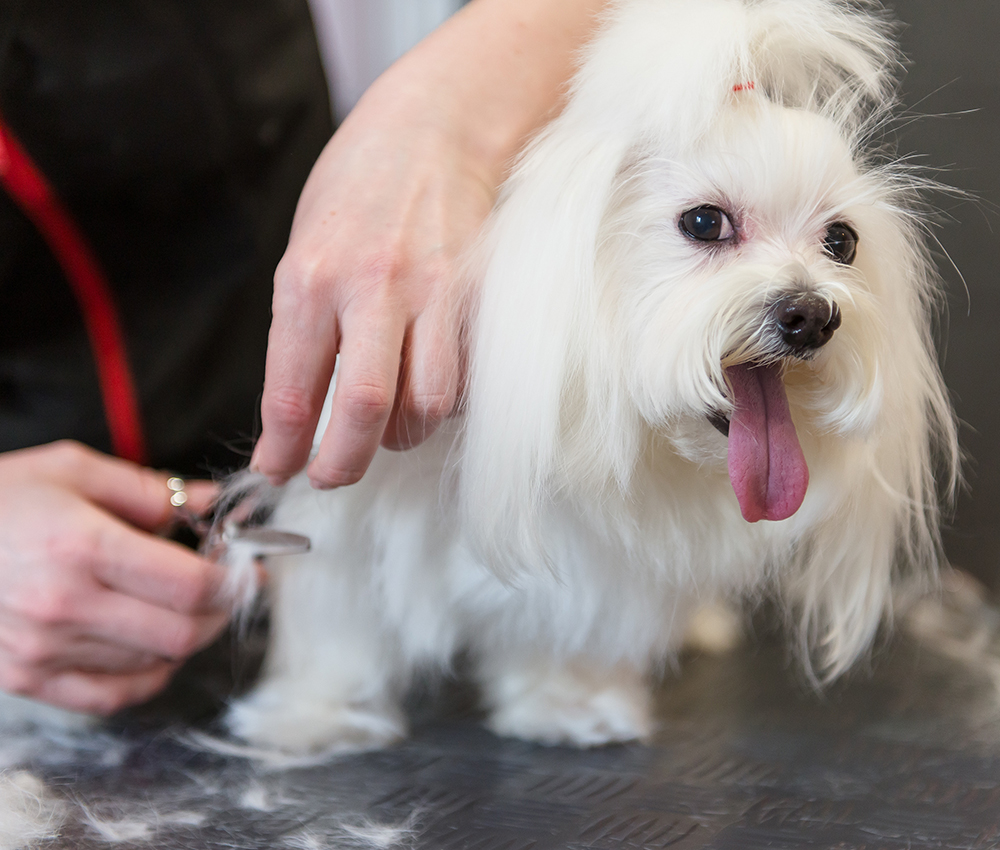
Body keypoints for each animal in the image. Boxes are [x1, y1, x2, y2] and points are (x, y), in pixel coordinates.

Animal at [223, 0, 956, 756]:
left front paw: (567, 698)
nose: (810, 315)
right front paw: (316, 712)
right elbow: (335, 604)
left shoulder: (588, 568)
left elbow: (565, 617)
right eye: (704, 222)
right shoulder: (346, 481)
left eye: (842, 241)